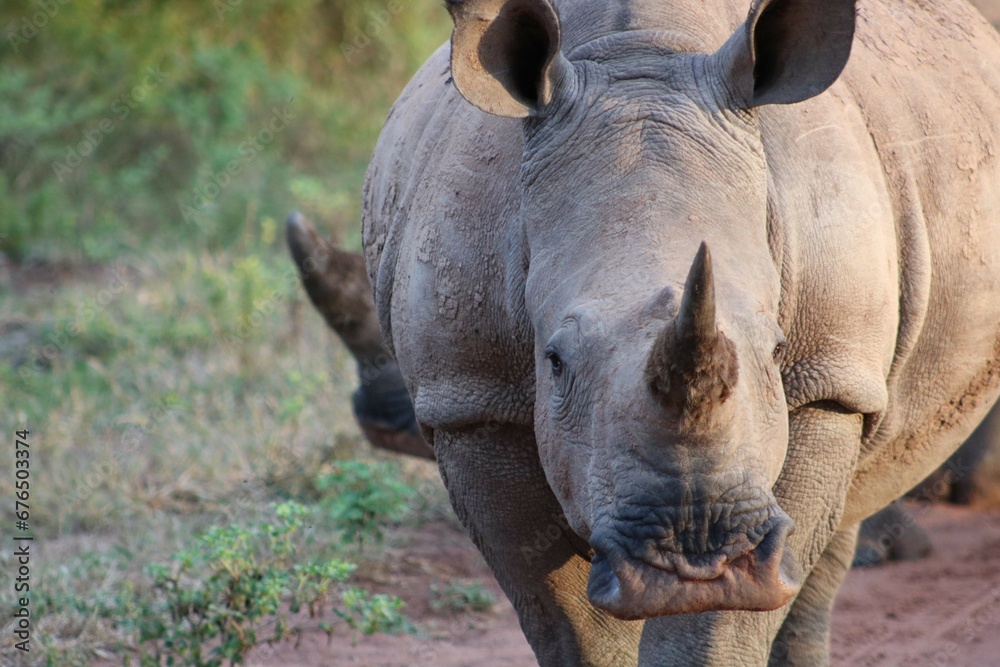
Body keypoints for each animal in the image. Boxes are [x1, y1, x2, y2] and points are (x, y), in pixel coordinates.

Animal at [297, 0, 1000, 663]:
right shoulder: (472, 399)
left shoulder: (826, 378)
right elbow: (571, 622)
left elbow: (723, 624)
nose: (693, 558)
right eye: (554, 361)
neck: (642, 62)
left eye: (776, 352)